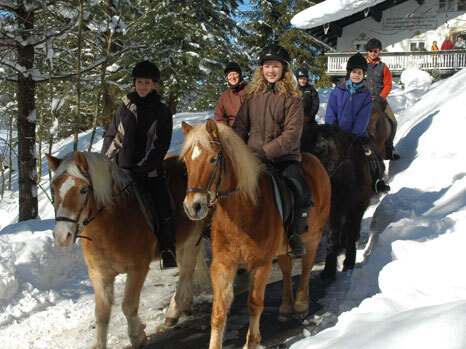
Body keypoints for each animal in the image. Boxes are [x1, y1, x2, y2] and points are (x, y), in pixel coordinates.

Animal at [46, 152, 208, 348]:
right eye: (53, 190)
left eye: (83, 190)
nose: (62, 235)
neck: (111, 225)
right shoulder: (99, 274)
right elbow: (101, 314)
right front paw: (99, 344)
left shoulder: (137, 268)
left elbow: (128, 305)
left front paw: (137, 336)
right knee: (188, 272)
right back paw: (186, 303)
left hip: (193, 239)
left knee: (185, 273)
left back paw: (173, 312)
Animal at [179, 119, 332, 348]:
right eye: (188, 161)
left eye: (213, 159)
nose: (193, 207)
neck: (241, 213)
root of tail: (314, 160)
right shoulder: (223, 264)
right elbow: (219, 311)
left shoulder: (261, 264)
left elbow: (254, 304)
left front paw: (252, 341)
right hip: (283, 249)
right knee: (286, 270)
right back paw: (285, 307)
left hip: (313, 237)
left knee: (305, 268)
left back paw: (300, 305)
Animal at [300, 123, 374, 278]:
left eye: (320, 152)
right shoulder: (333, 211)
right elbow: (331, 239)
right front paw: (328, 272)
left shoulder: (357, 209)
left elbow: (352, 233)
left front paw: (349, 262)